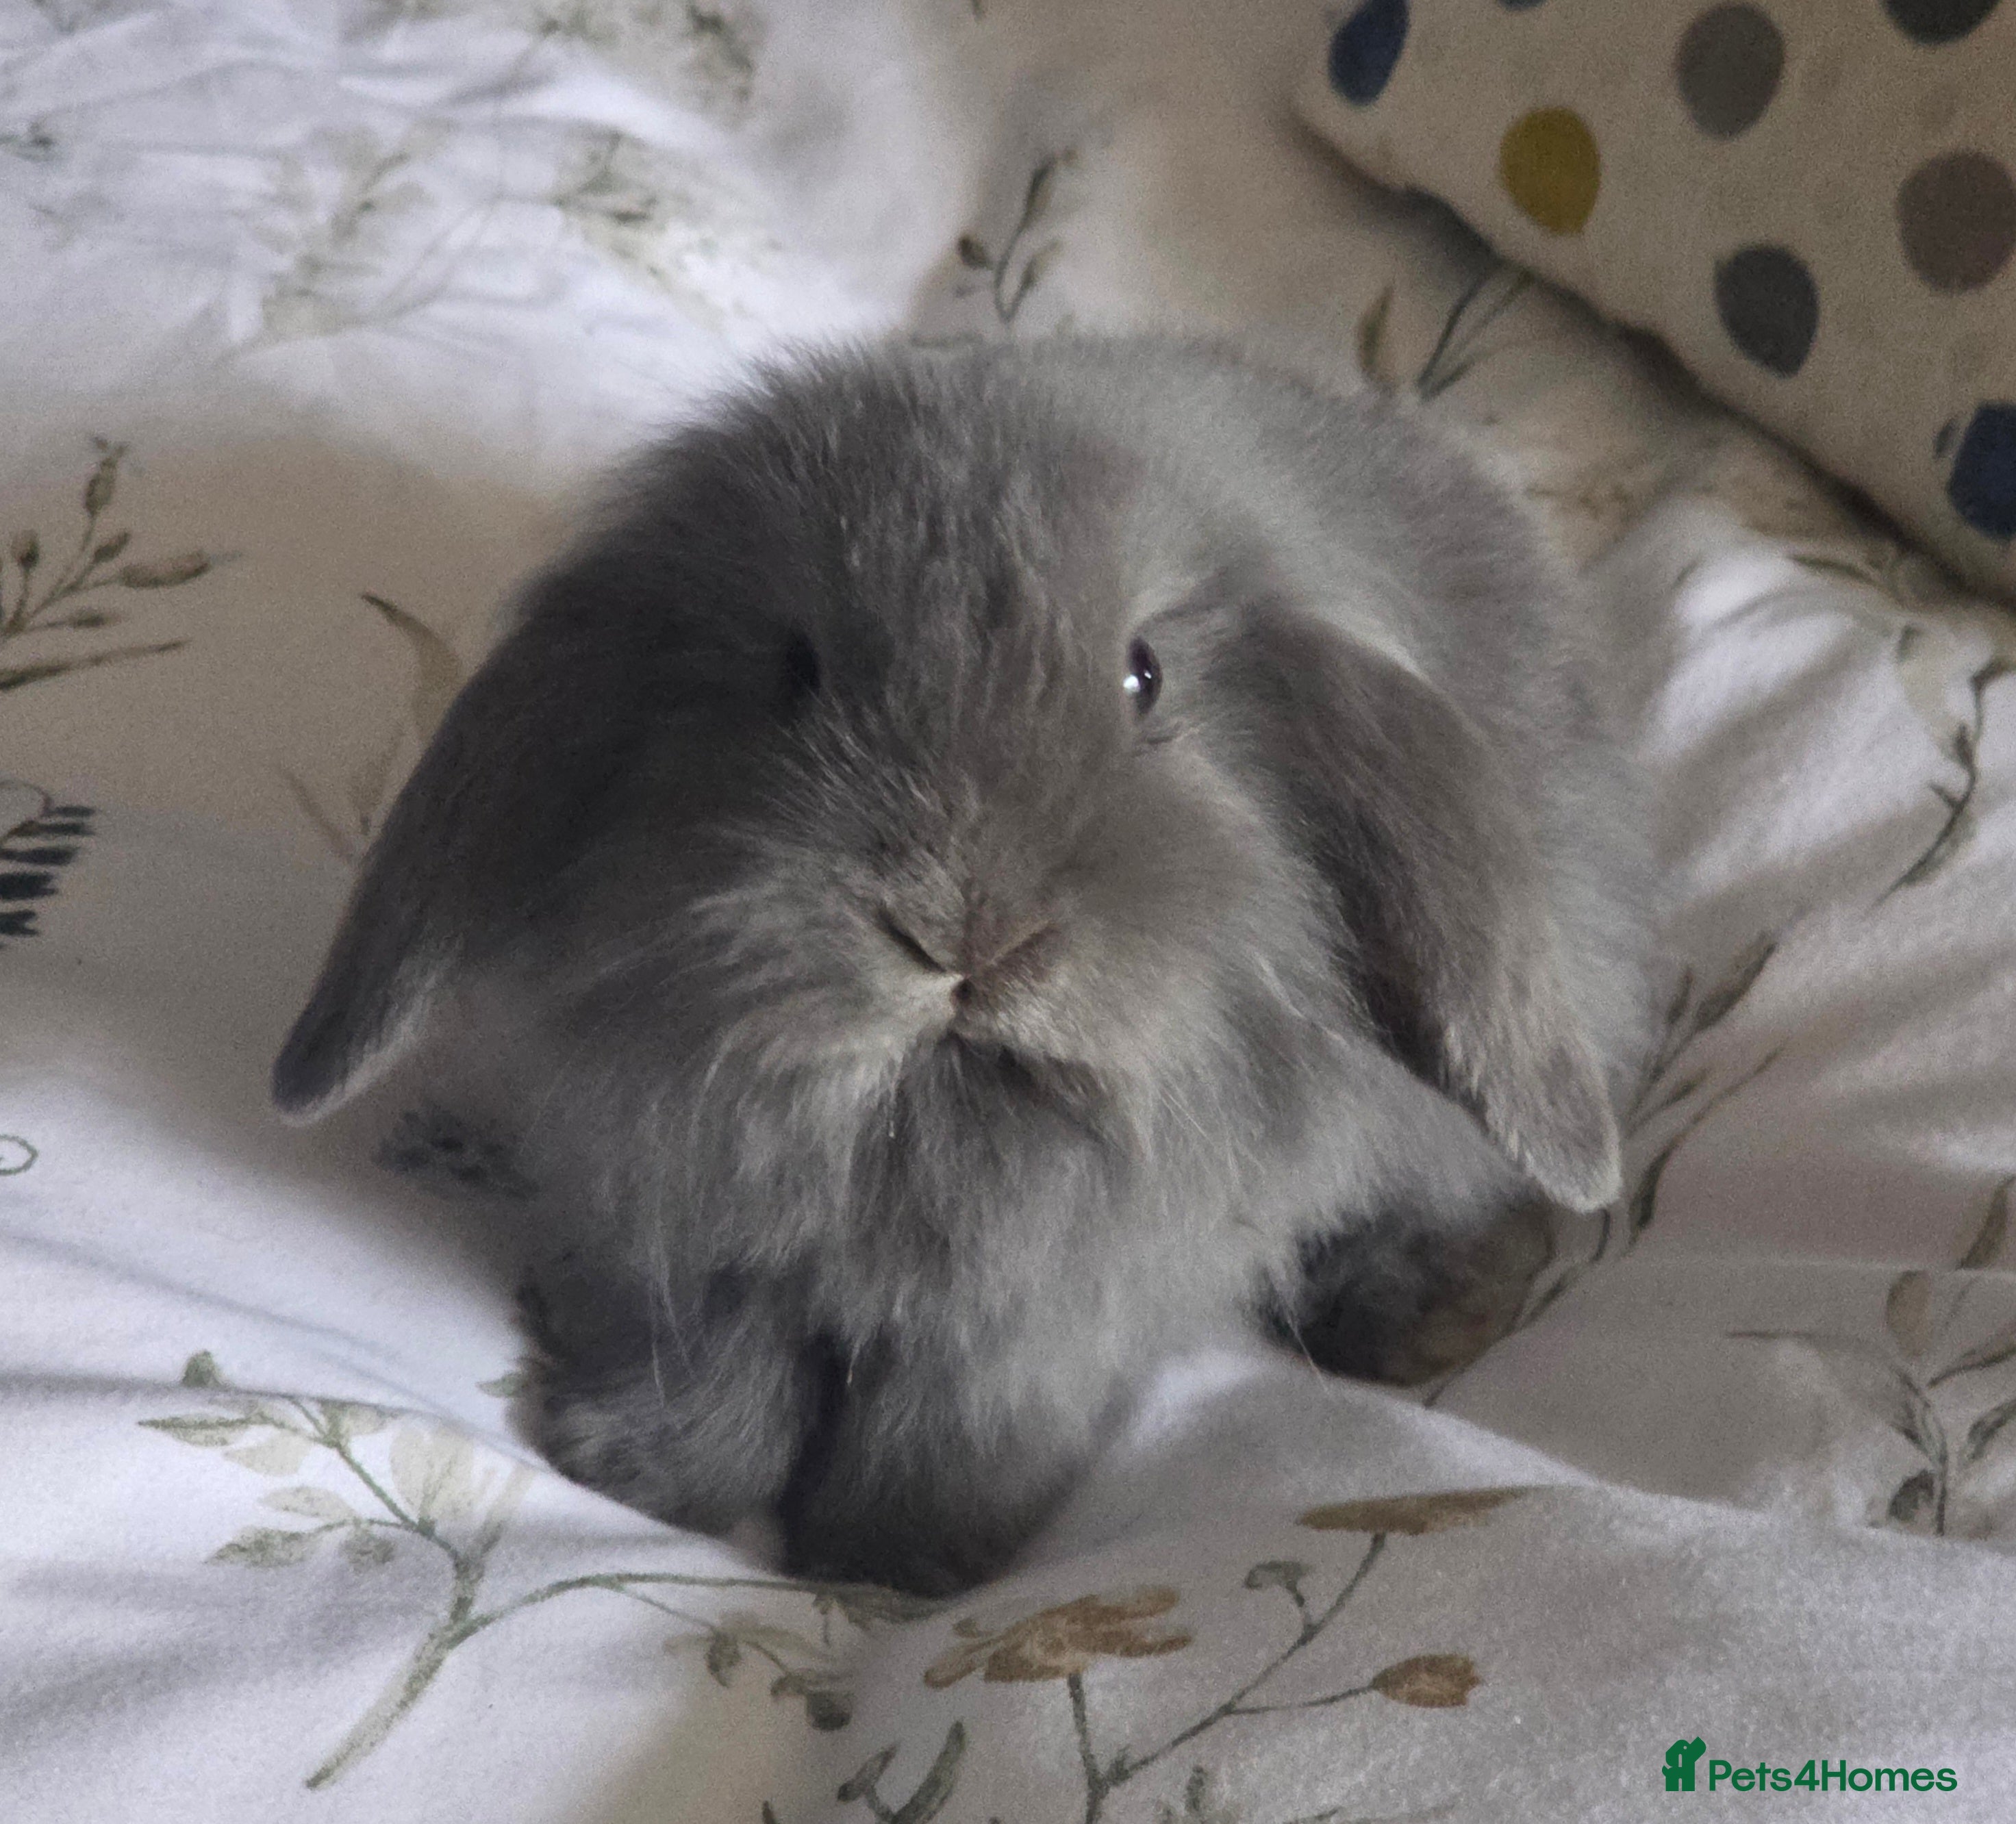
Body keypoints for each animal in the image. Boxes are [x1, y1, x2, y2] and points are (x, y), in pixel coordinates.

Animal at [272, 335, 1652, 1595]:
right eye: (792, 671)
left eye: (1144, 676)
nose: (962, 932)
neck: (926, 1114)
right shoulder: (688, 1233)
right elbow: (711, 1367)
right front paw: (649, 1481)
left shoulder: (1042, 1317)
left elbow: (962, 1422)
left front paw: (897, 1562)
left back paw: (1412, 1316)